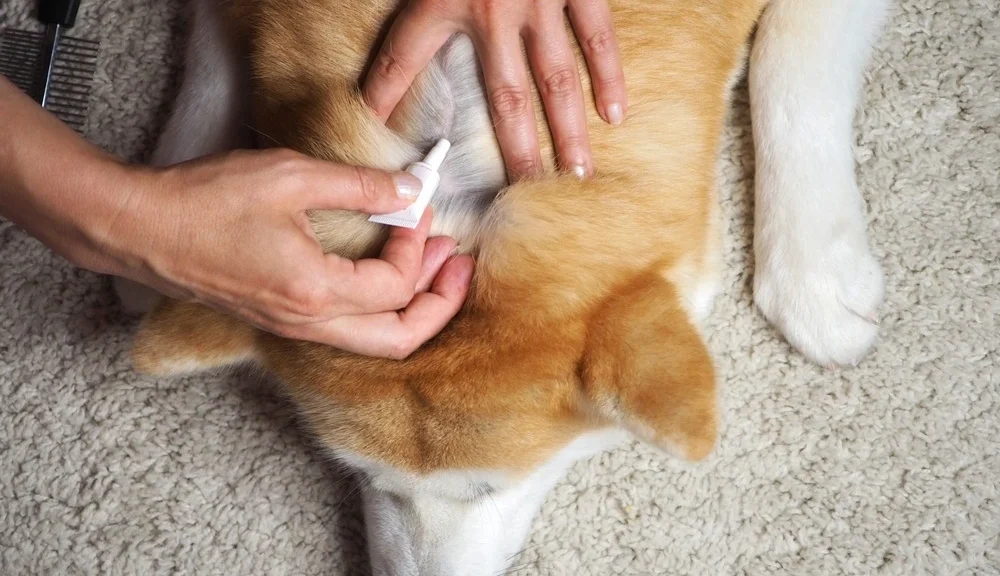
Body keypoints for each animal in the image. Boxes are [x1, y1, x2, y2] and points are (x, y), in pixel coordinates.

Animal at [117, 0, 892, 572]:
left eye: (488, 489)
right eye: (361, 476)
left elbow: (791, 64)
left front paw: (816, 272)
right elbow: (211, 56)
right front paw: (187, 211)